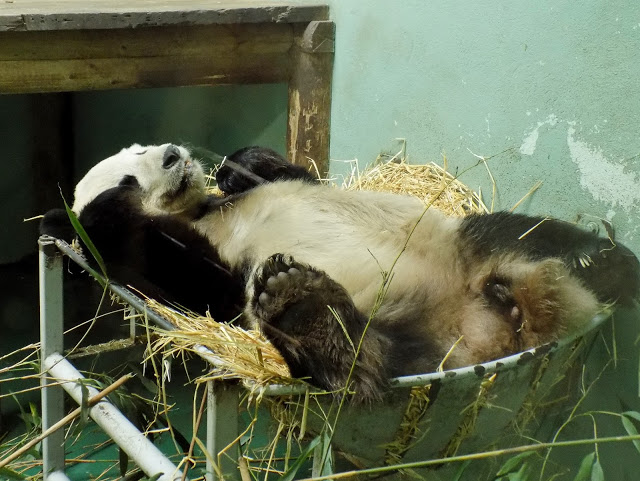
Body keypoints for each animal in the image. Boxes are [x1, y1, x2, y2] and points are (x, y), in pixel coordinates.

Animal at [41, 143, 640, 402]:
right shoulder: (197, 281)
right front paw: (93, 216)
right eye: (126, 174)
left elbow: (292, 174)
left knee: (523, 233)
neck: (199, 213)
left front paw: (241, 163)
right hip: (417, 349)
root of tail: (486, 331)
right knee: (372, 366)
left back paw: (602, 262)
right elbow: (203, 286)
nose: (171, 154)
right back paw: (307, 312)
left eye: (142, 148)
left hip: (464, 244)